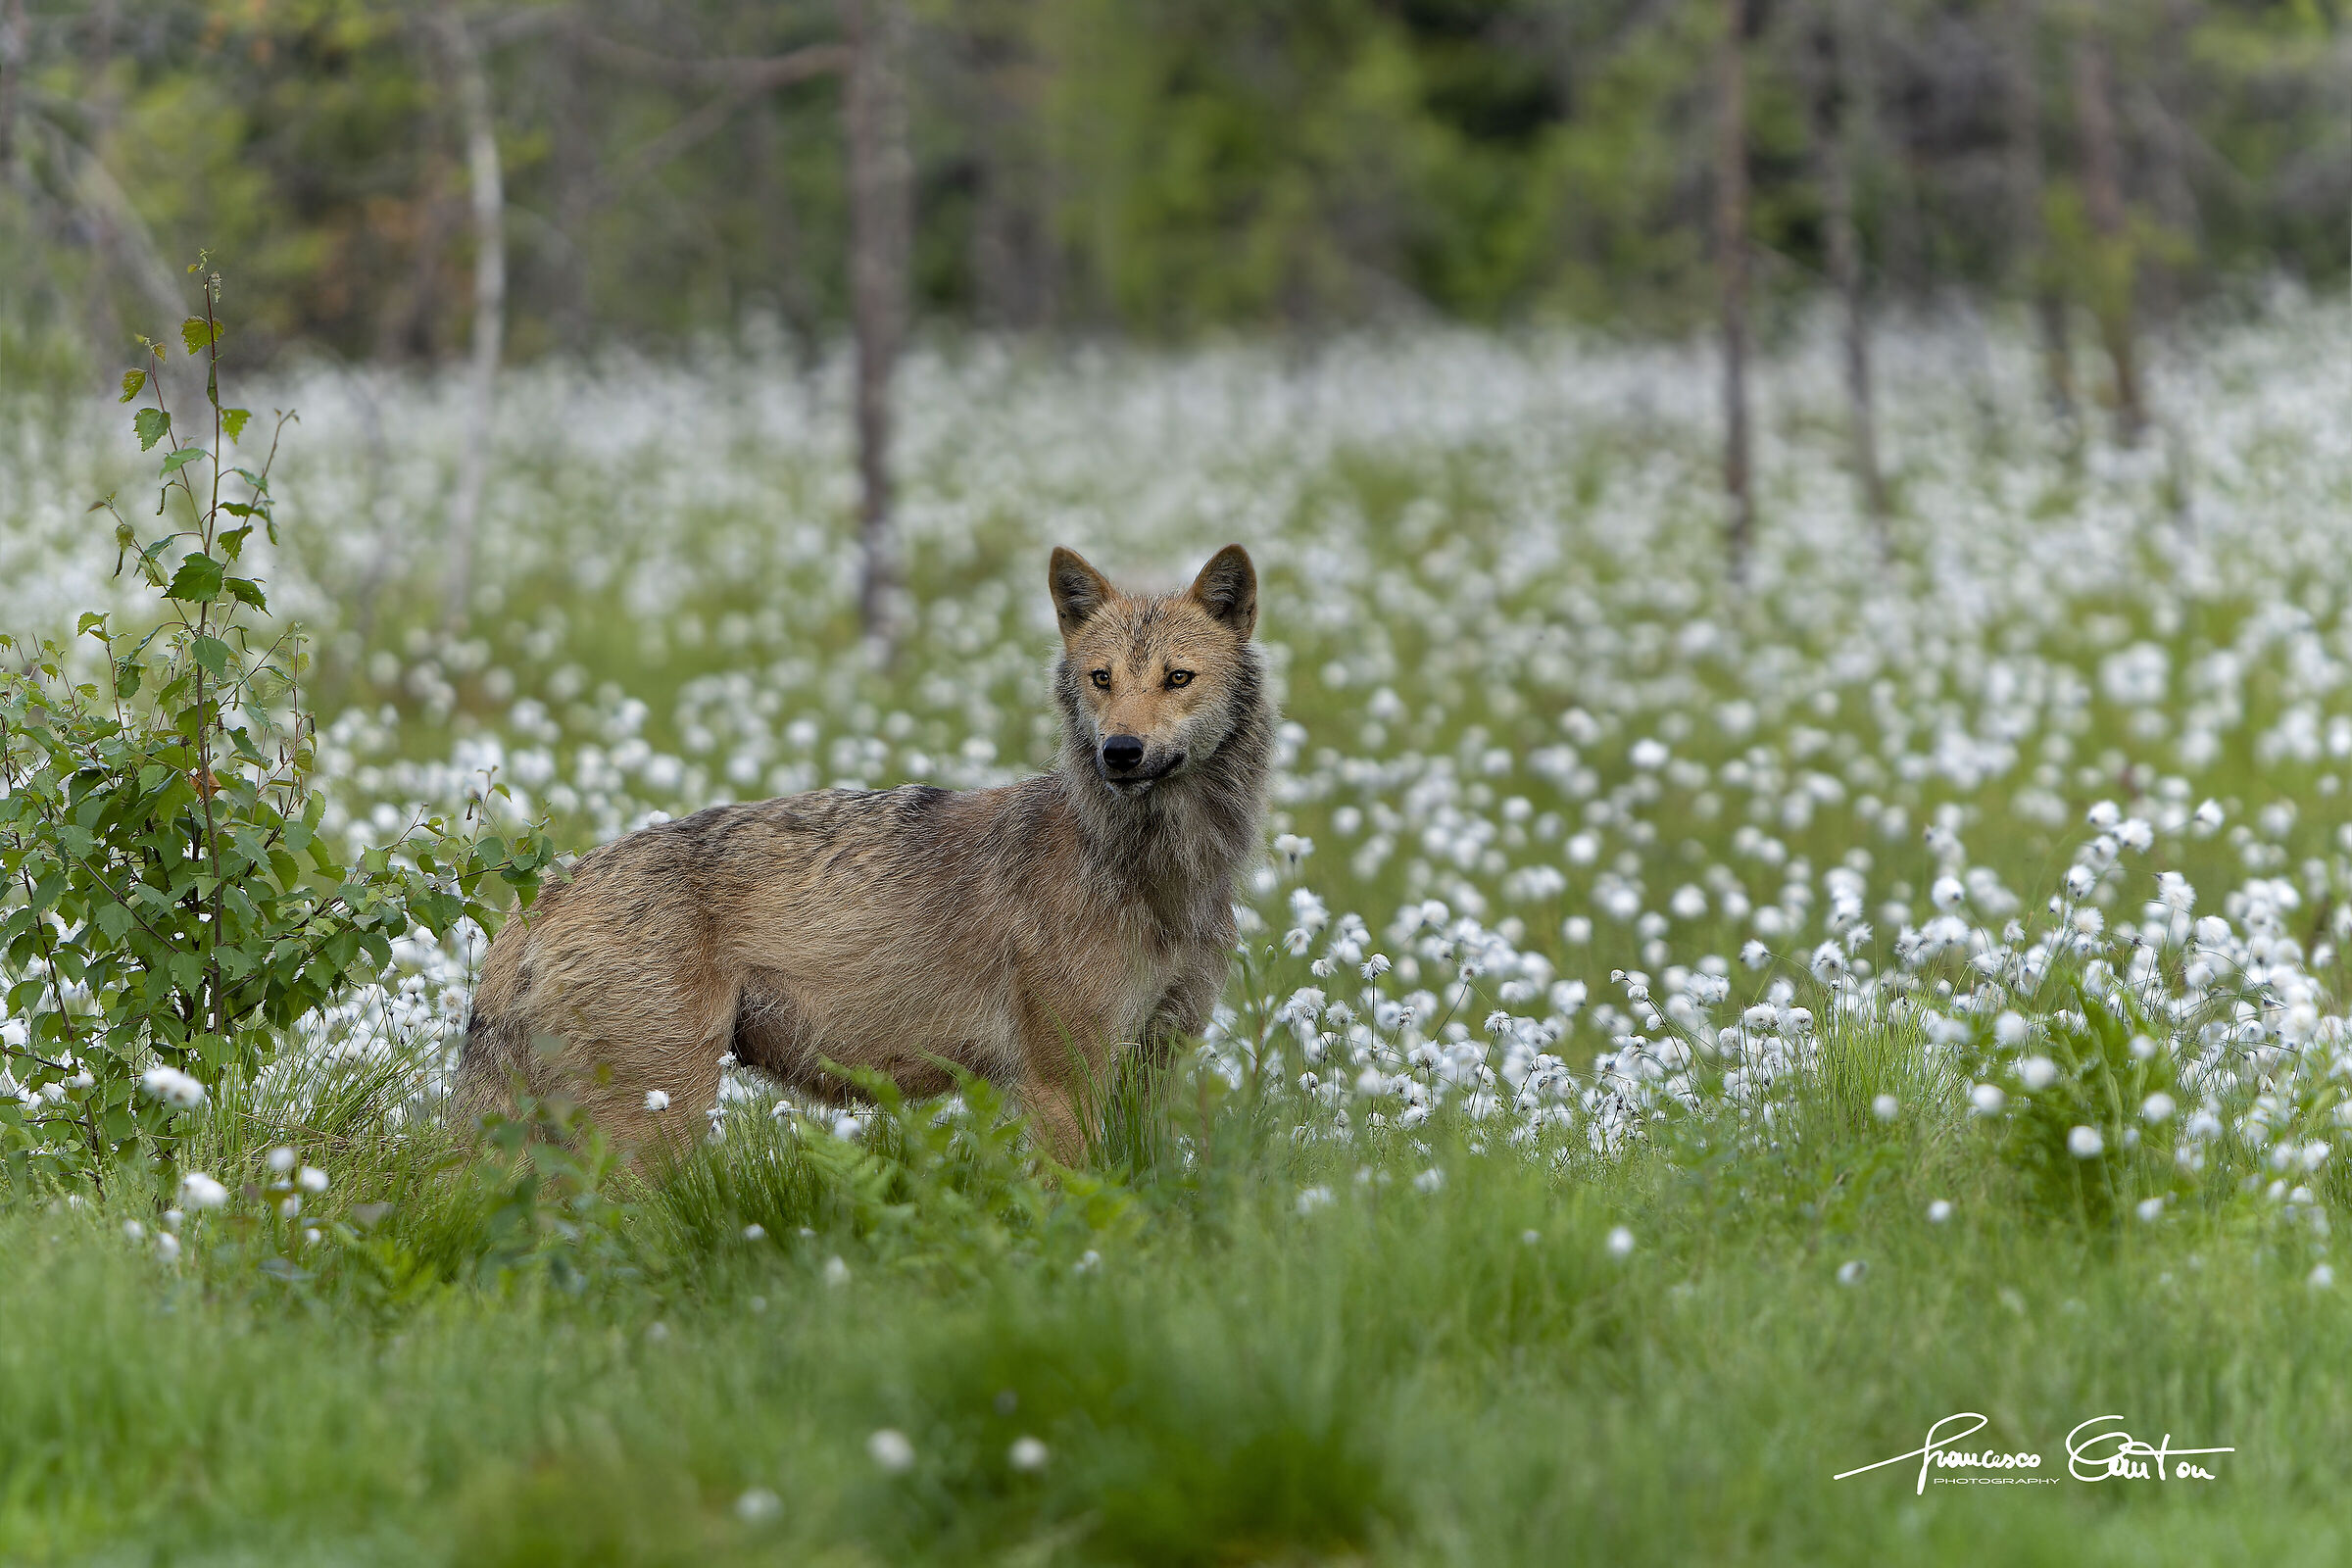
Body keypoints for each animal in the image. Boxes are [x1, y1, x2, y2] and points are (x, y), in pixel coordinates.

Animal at [455, 544, 1272, 1159]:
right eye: (1102, 679)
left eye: (1176, 678)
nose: (1120, 752)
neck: (1159, 875)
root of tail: (547, 890)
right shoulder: (1060, 1084)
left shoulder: (1152, 1066)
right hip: (659, 1123)